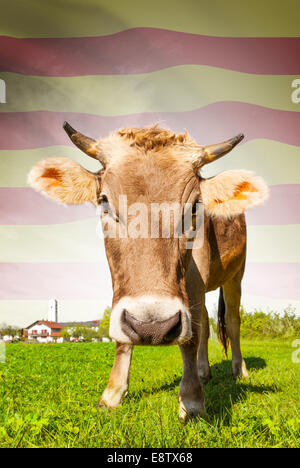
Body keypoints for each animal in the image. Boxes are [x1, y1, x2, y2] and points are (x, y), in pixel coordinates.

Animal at [28, 122, 268, 418]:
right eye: (104, 202)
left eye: (195, 206)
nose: (152, 327)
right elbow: (125, 334)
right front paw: (112, 393)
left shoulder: (196, 275)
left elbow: (191, 335)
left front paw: (192, 400)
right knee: (206, 323)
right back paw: (203, 372)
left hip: (236, 275)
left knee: (232, 321)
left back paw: (239, 370)